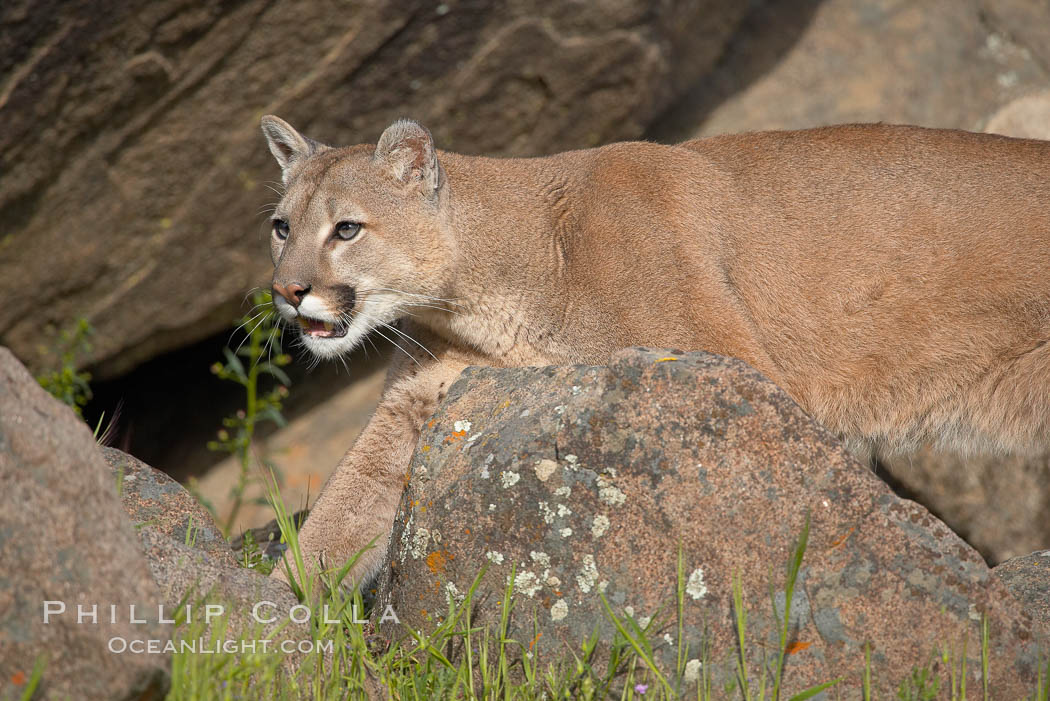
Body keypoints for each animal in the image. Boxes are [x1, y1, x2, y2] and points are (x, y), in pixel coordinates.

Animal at [258, 117, 1050, 587]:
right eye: (280, 226)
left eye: (347, 229)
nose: (288, 291)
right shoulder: (421, 407)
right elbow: (339, 520)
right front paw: (278, 630)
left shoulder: (732, 366)